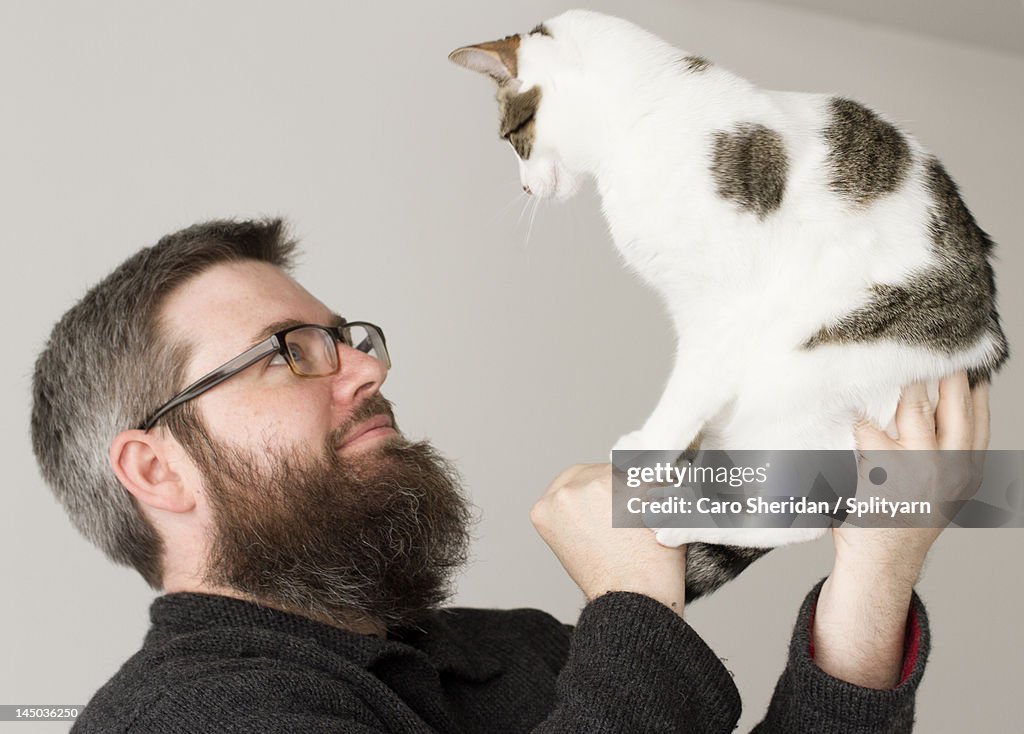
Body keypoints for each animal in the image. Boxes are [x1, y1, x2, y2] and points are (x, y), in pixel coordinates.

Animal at [448, 10, 1007, 593]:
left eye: (513, 139)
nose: (526, 189)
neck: (644, 115)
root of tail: (982, 354)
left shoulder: (724, 306)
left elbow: (689, 386)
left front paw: (649, 446)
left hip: (801, 378)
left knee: (803, 516)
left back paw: (682, 519)